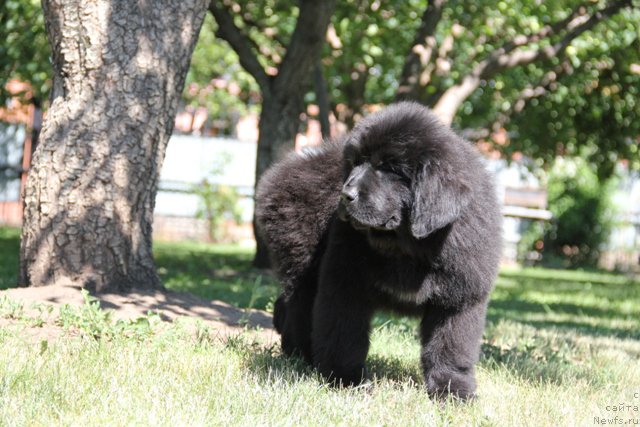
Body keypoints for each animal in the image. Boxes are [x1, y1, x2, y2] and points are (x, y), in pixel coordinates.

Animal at [254, 102, 500, 400]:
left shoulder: (460, 299)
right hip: (302, 265)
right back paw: (301, 357)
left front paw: (452, 391)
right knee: (298, 309)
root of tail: (280, 173)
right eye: (355, 163)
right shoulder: (344, 283)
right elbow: (344, 336)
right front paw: (346, 381)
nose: (345, 195)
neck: (406, 246)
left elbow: (451, 348)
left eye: (389, 167)